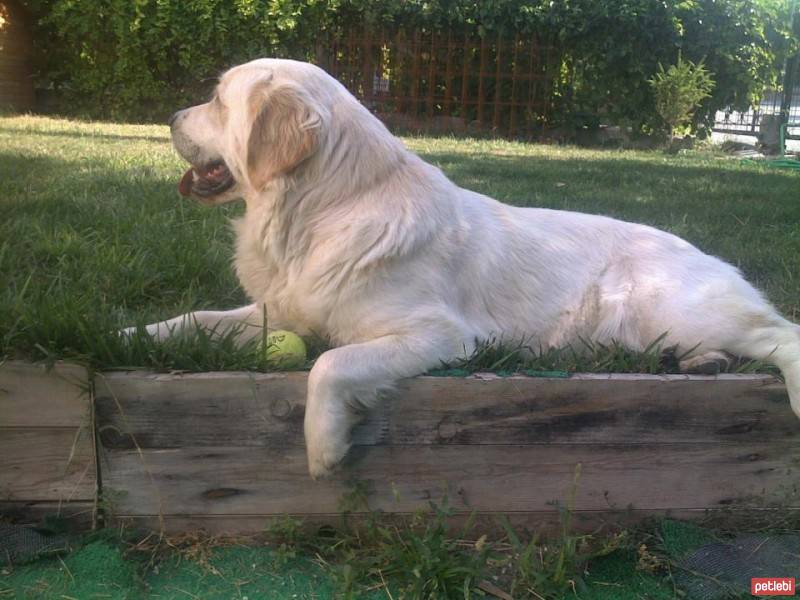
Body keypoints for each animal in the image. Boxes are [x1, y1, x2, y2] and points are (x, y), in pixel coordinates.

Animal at [130, 57, 800, 478]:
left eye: (218, 101)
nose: (169, 119)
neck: (319, 214)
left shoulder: (441, 334)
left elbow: (328, 363)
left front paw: (324, 447)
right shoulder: (278, 309)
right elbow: (196, 318)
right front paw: (128, 333)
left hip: (669, 307)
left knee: (782, 335)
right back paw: (700, 364)